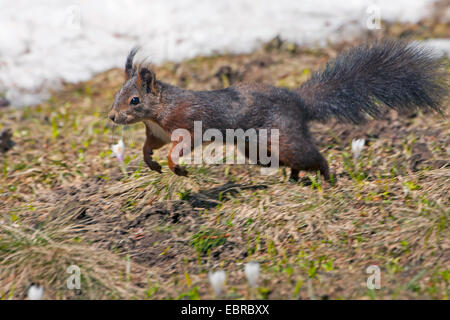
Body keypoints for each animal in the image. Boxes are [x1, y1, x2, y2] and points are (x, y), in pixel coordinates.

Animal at [108, 39, 446, 182]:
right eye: (117, 95)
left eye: (134, 100)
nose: (112, 117)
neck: (159, 109)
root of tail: (299, 102)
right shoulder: (157, 132)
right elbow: (150, 146)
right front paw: (150, 162)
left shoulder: (187, 122)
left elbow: (179, 147)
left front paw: (176, 167)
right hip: (259, 149)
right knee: (293, 161)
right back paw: (294, 178)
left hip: (282, 137)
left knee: (311, 155)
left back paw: (326, 177)